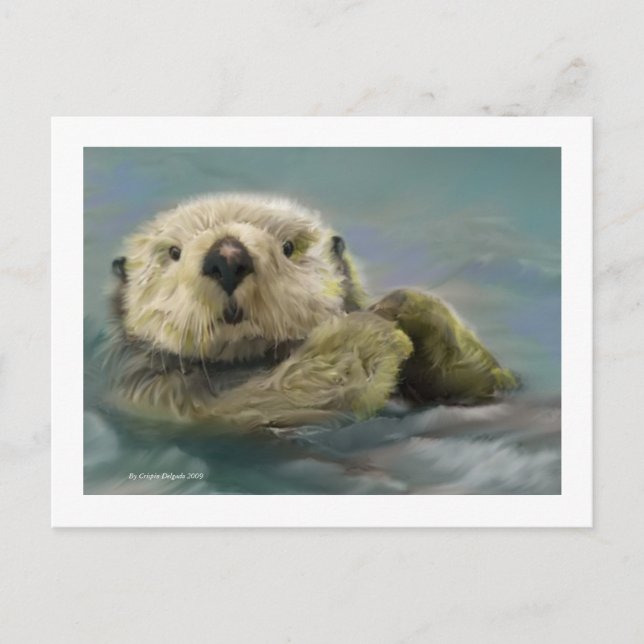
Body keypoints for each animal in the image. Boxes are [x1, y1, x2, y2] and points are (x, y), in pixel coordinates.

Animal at [105, 193, 517, 430]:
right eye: (173, 252)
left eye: (288, 247)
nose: (228, 256)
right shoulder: (162, 400)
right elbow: (258, 403)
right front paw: (365, 335)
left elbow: (488, 387)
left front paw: (407, 308)